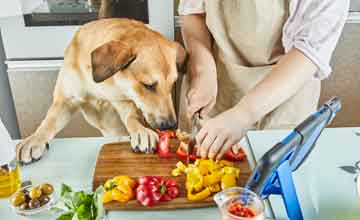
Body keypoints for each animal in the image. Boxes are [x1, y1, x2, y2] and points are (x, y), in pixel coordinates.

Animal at [15, 18, 187, 163]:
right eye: (148, 85)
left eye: (173, 84)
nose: (171, 125)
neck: (103, 86)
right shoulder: (65, 101)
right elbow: (49, 123)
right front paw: (34, 140)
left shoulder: (123, 100)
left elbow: (132, 118)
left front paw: (141, 131)